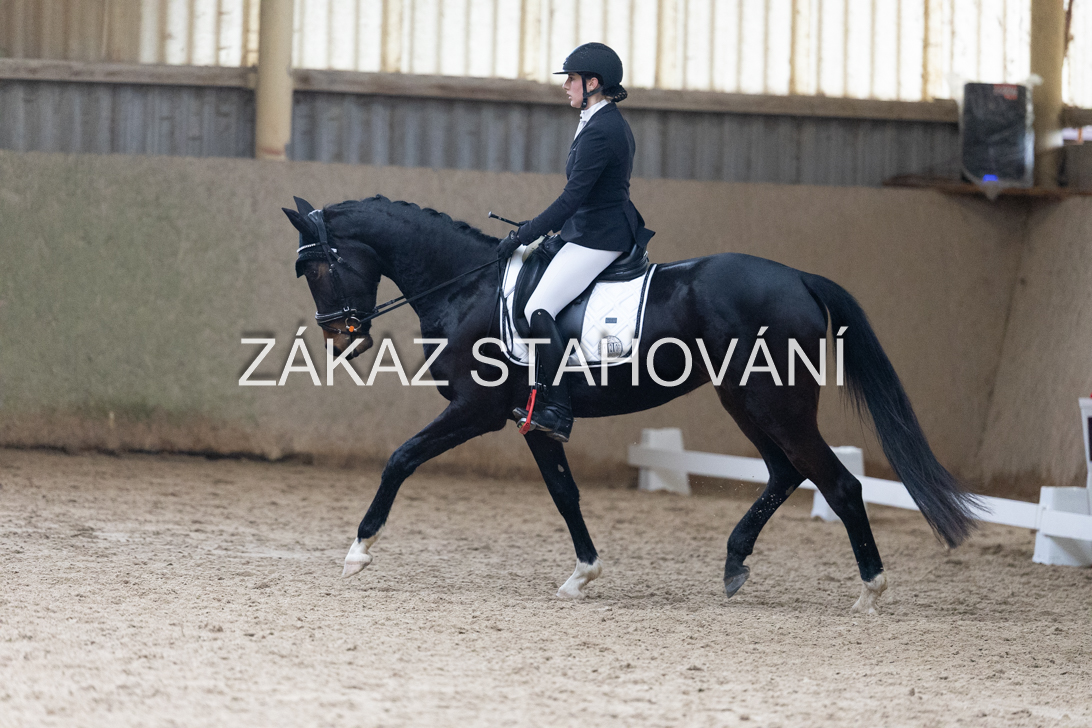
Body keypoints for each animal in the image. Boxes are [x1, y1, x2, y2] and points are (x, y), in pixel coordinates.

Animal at [283, 194, 979, 614]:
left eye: (319, 268)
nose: (342, 338)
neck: (468, 288)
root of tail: (800, 279)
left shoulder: (477, 410)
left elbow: (401, 459)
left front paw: (359, 550)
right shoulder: (531, 421)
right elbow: (564, 494)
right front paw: (582, 574)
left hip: (776, 403)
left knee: (837, 483)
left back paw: (870, 591)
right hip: (744, 401)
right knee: (786, 472)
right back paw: (734, 563)